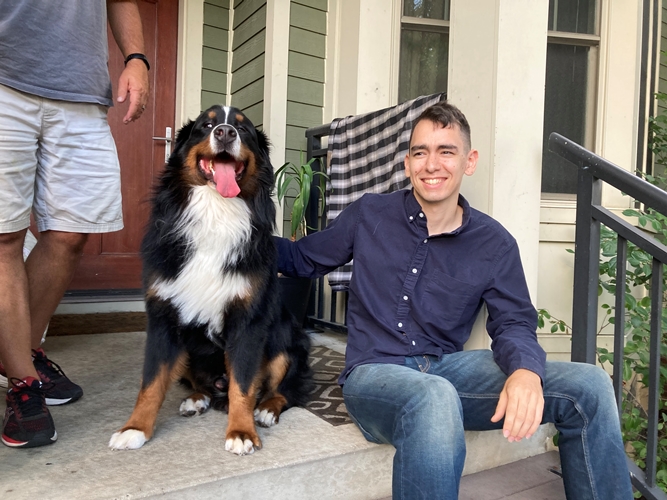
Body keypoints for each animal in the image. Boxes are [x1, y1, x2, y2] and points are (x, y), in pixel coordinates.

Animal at [109, 105, 313, 455]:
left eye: (243, 129)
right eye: (207, 125)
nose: (225, 132)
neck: (215, 213)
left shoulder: (248, 321)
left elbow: (243, 384)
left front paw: (241, 432)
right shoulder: (163, 316)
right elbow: (151, 382)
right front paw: (134, 428)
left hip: (287, 340)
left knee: (283, 390)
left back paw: (266, 410)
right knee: (199, 383)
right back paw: (196, 399)